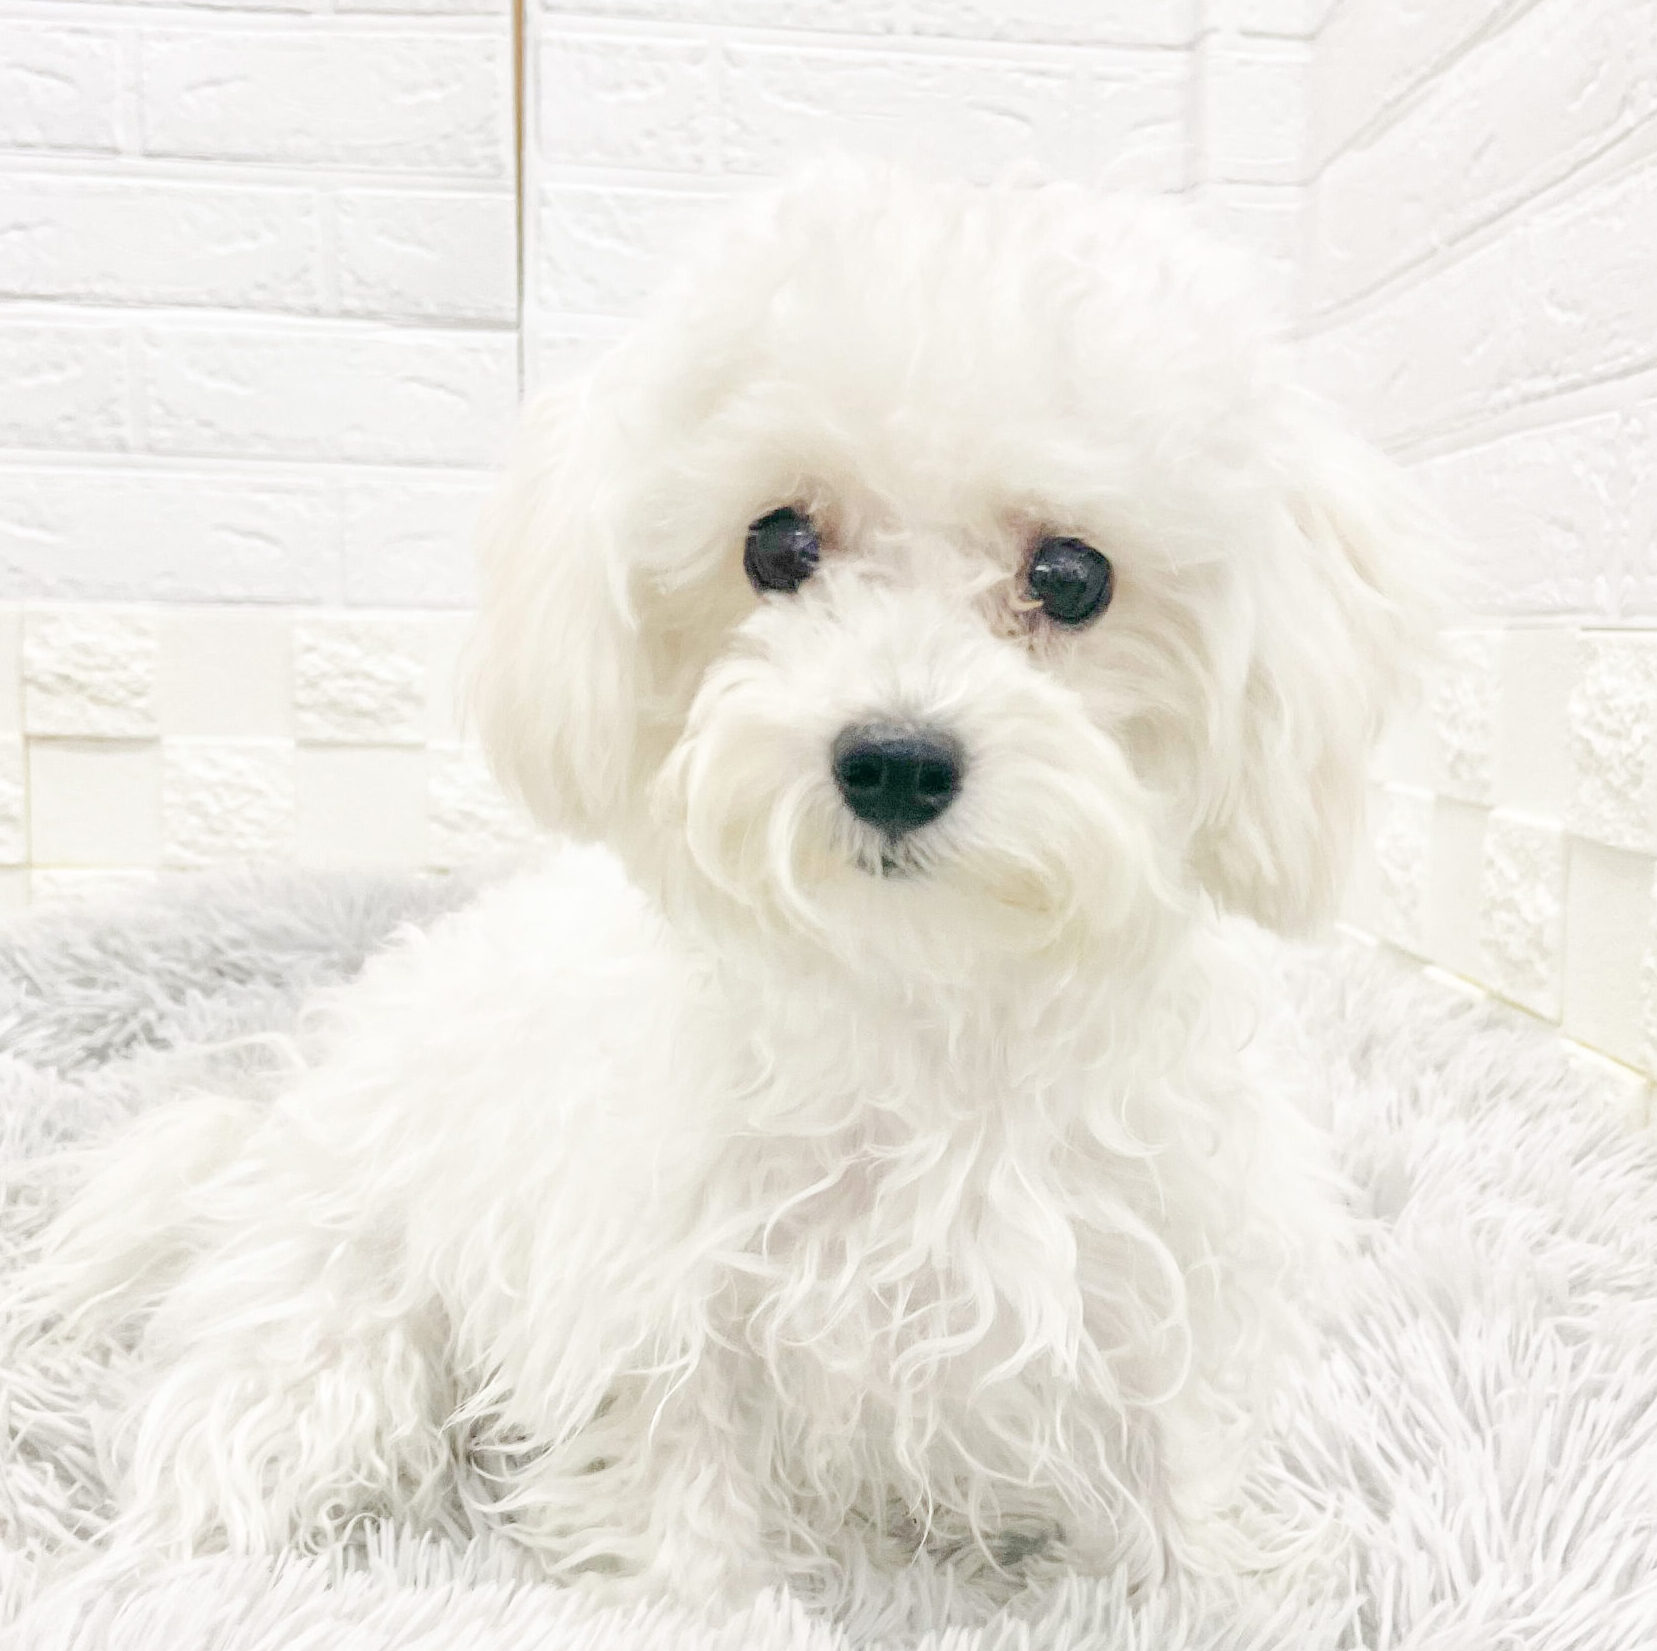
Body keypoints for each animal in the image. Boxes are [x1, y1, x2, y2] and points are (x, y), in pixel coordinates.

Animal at [32, 160, 1436, 1621]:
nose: (892, 759)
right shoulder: (660, 1295)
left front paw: (1214, 1586)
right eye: (777, 544)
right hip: (330, 1295)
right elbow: (681, 1485)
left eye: (1070, 575)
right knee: (256, 1416)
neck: (924, 997)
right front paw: (711, 1601)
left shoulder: (1153, 1263)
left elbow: (1174, 1458)